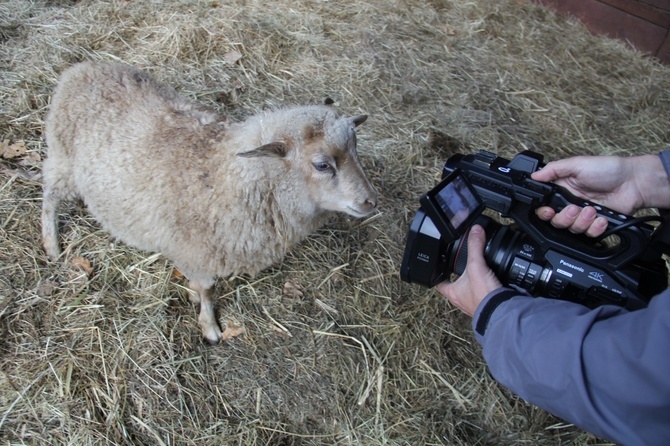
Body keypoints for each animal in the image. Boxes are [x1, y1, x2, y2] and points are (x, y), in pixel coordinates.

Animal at [42, 61, 378, 344]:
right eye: (322, 165)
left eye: (356, 148)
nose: (371, 201)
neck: (227, 174)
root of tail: (80, 68)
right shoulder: (196, 252)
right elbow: (208, 289)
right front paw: (210, 327)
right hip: (62, 158)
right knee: (49, 194)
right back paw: (51, 244)